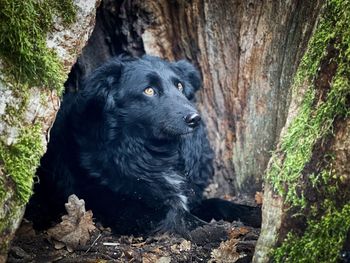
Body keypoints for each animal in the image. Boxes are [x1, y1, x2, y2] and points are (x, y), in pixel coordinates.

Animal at [28, 55, 260, 237]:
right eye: (149, 91)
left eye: (179, 86)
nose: (195, 119)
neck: (154, 151)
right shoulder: (125, 208)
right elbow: (177, 214)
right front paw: (215, 230)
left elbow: (219, 203)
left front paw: (254, 213)